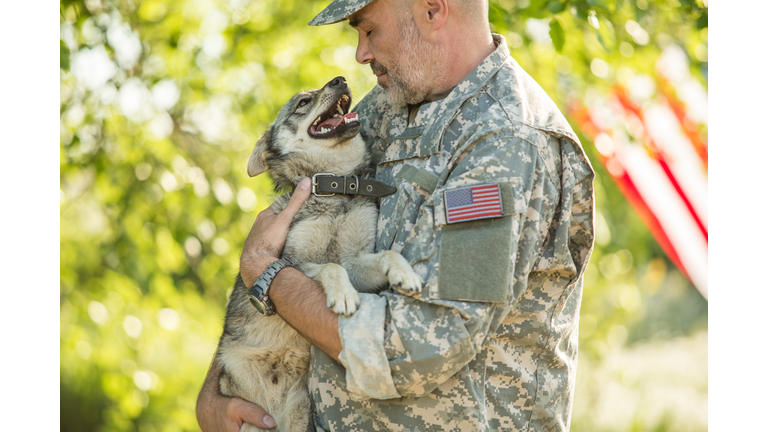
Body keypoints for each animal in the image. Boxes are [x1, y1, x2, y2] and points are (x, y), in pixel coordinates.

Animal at [214, 77, 420, 432]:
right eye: (302, 102)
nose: (340, 79)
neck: (337, 188)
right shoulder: (293, 263)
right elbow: (330, 268)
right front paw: (343, 296)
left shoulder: (357, 261)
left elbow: (386, 255)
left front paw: (405, 272)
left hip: (300, 414)